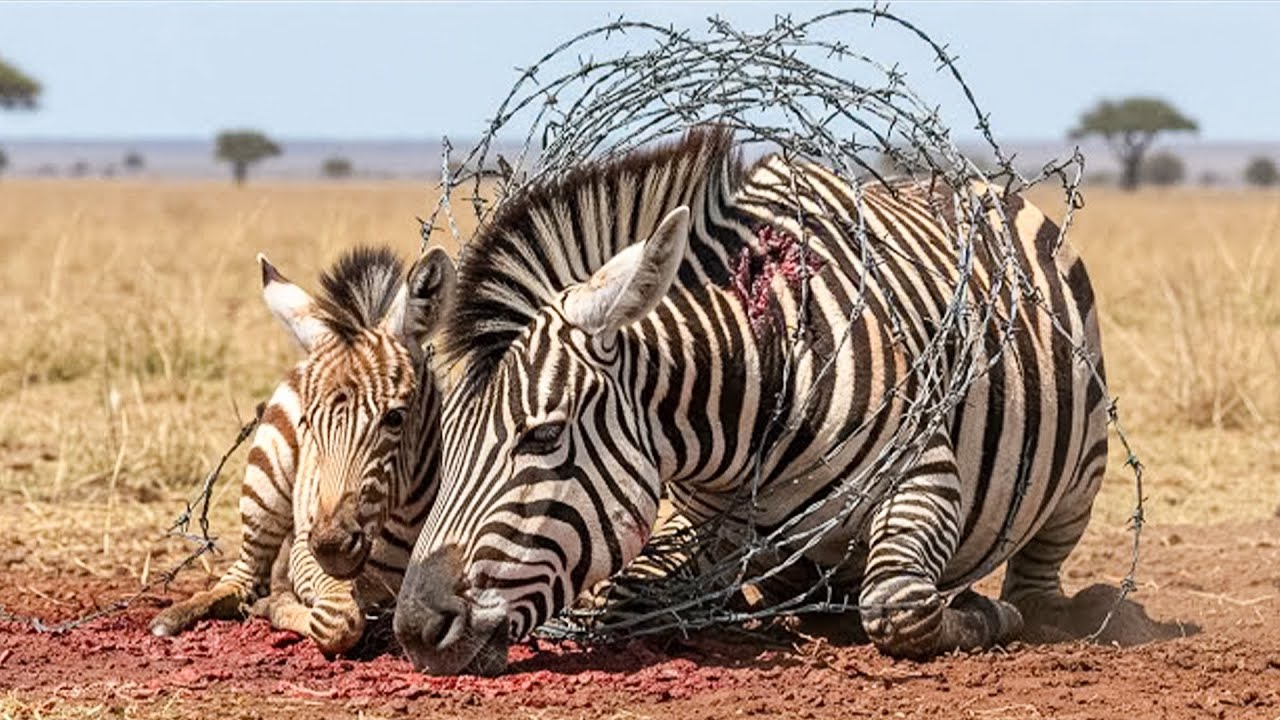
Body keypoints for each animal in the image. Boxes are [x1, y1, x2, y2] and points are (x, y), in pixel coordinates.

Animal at [151, 245, 454, 656]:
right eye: (308, 421)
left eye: (395, 418)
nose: (331, 545)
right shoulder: (304, 552)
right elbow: (336, 619)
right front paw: (279, 603)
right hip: (265, 483)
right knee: (241, 577)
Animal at [393, 127, 1111, 675]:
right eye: (446, 442)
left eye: (543, 436)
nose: (414, 627)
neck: (760, 380)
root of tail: (969, 182)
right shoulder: (715, 522)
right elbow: (627, 593)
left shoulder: (924, 469)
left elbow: (899, 605)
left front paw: (984, 614)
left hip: (1080, 473)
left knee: (1038, 578)